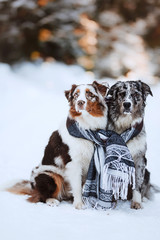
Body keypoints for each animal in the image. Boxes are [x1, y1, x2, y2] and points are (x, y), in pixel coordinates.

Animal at [7, 81, 107, 209]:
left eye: (90, 94)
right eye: (76, 95)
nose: (80, 102)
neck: (86, 127)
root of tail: (32, 187)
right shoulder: (73, 163)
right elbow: (77, 186)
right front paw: (79, 204)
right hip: (49, 176)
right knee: (40, 196)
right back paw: (52, 201)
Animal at [105, 79, 153, 209]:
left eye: (136, 94)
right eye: (122, 94)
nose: (127, 104)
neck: (125, 124)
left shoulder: (140, 158)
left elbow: (138, 183)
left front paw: (136, 203)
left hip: (147, 173)